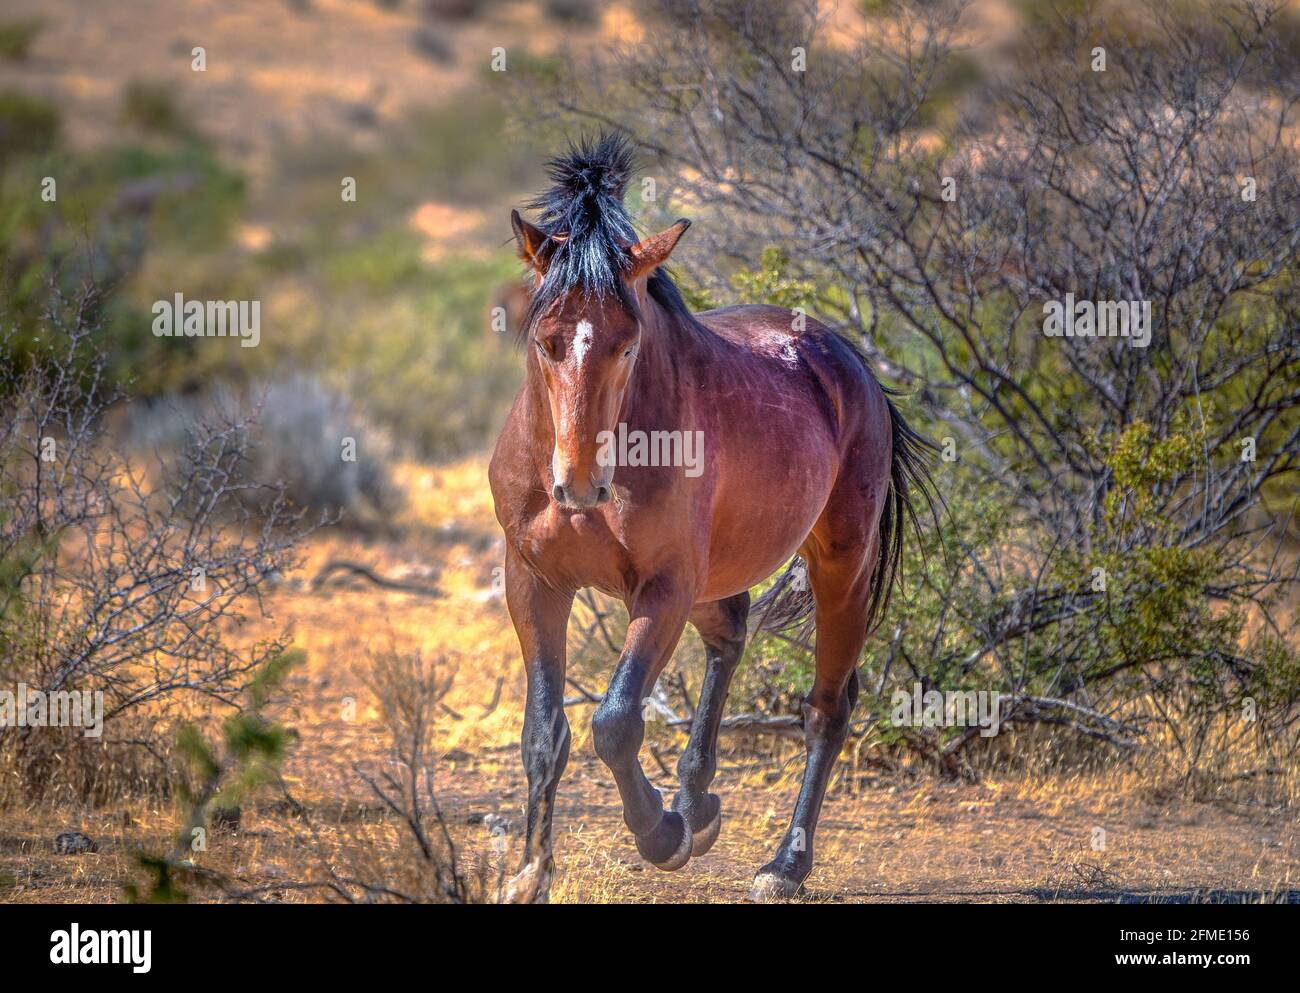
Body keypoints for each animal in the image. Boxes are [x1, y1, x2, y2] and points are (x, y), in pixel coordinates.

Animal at [488, 131, 935, 899]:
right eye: (546, 340)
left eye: (628, 343)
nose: (579, 484)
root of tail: (852, 365)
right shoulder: (535, 582)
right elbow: (544, 735)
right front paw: (529, 873)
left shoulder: (662, 589)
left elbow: (615, 722)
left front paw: (660, 833)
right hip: (715, 579)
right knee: (729, 634)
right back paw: (699, 802)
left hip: (840, 568)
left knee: (828, 708)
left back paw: (782, 863)